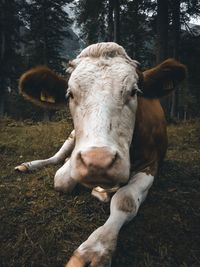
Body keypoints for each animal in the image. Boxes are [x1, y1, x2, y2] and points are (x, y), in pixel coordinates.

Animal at [14, 42, 187, 267]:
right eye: (70, 94)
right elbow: (62, 180)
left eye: (134, 91)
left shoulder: (152, 164)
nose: (98, 162)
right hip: (70, 136)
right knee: (57, 157)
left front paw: (94, 248)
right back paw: (28, 165)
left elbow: (125, 201)